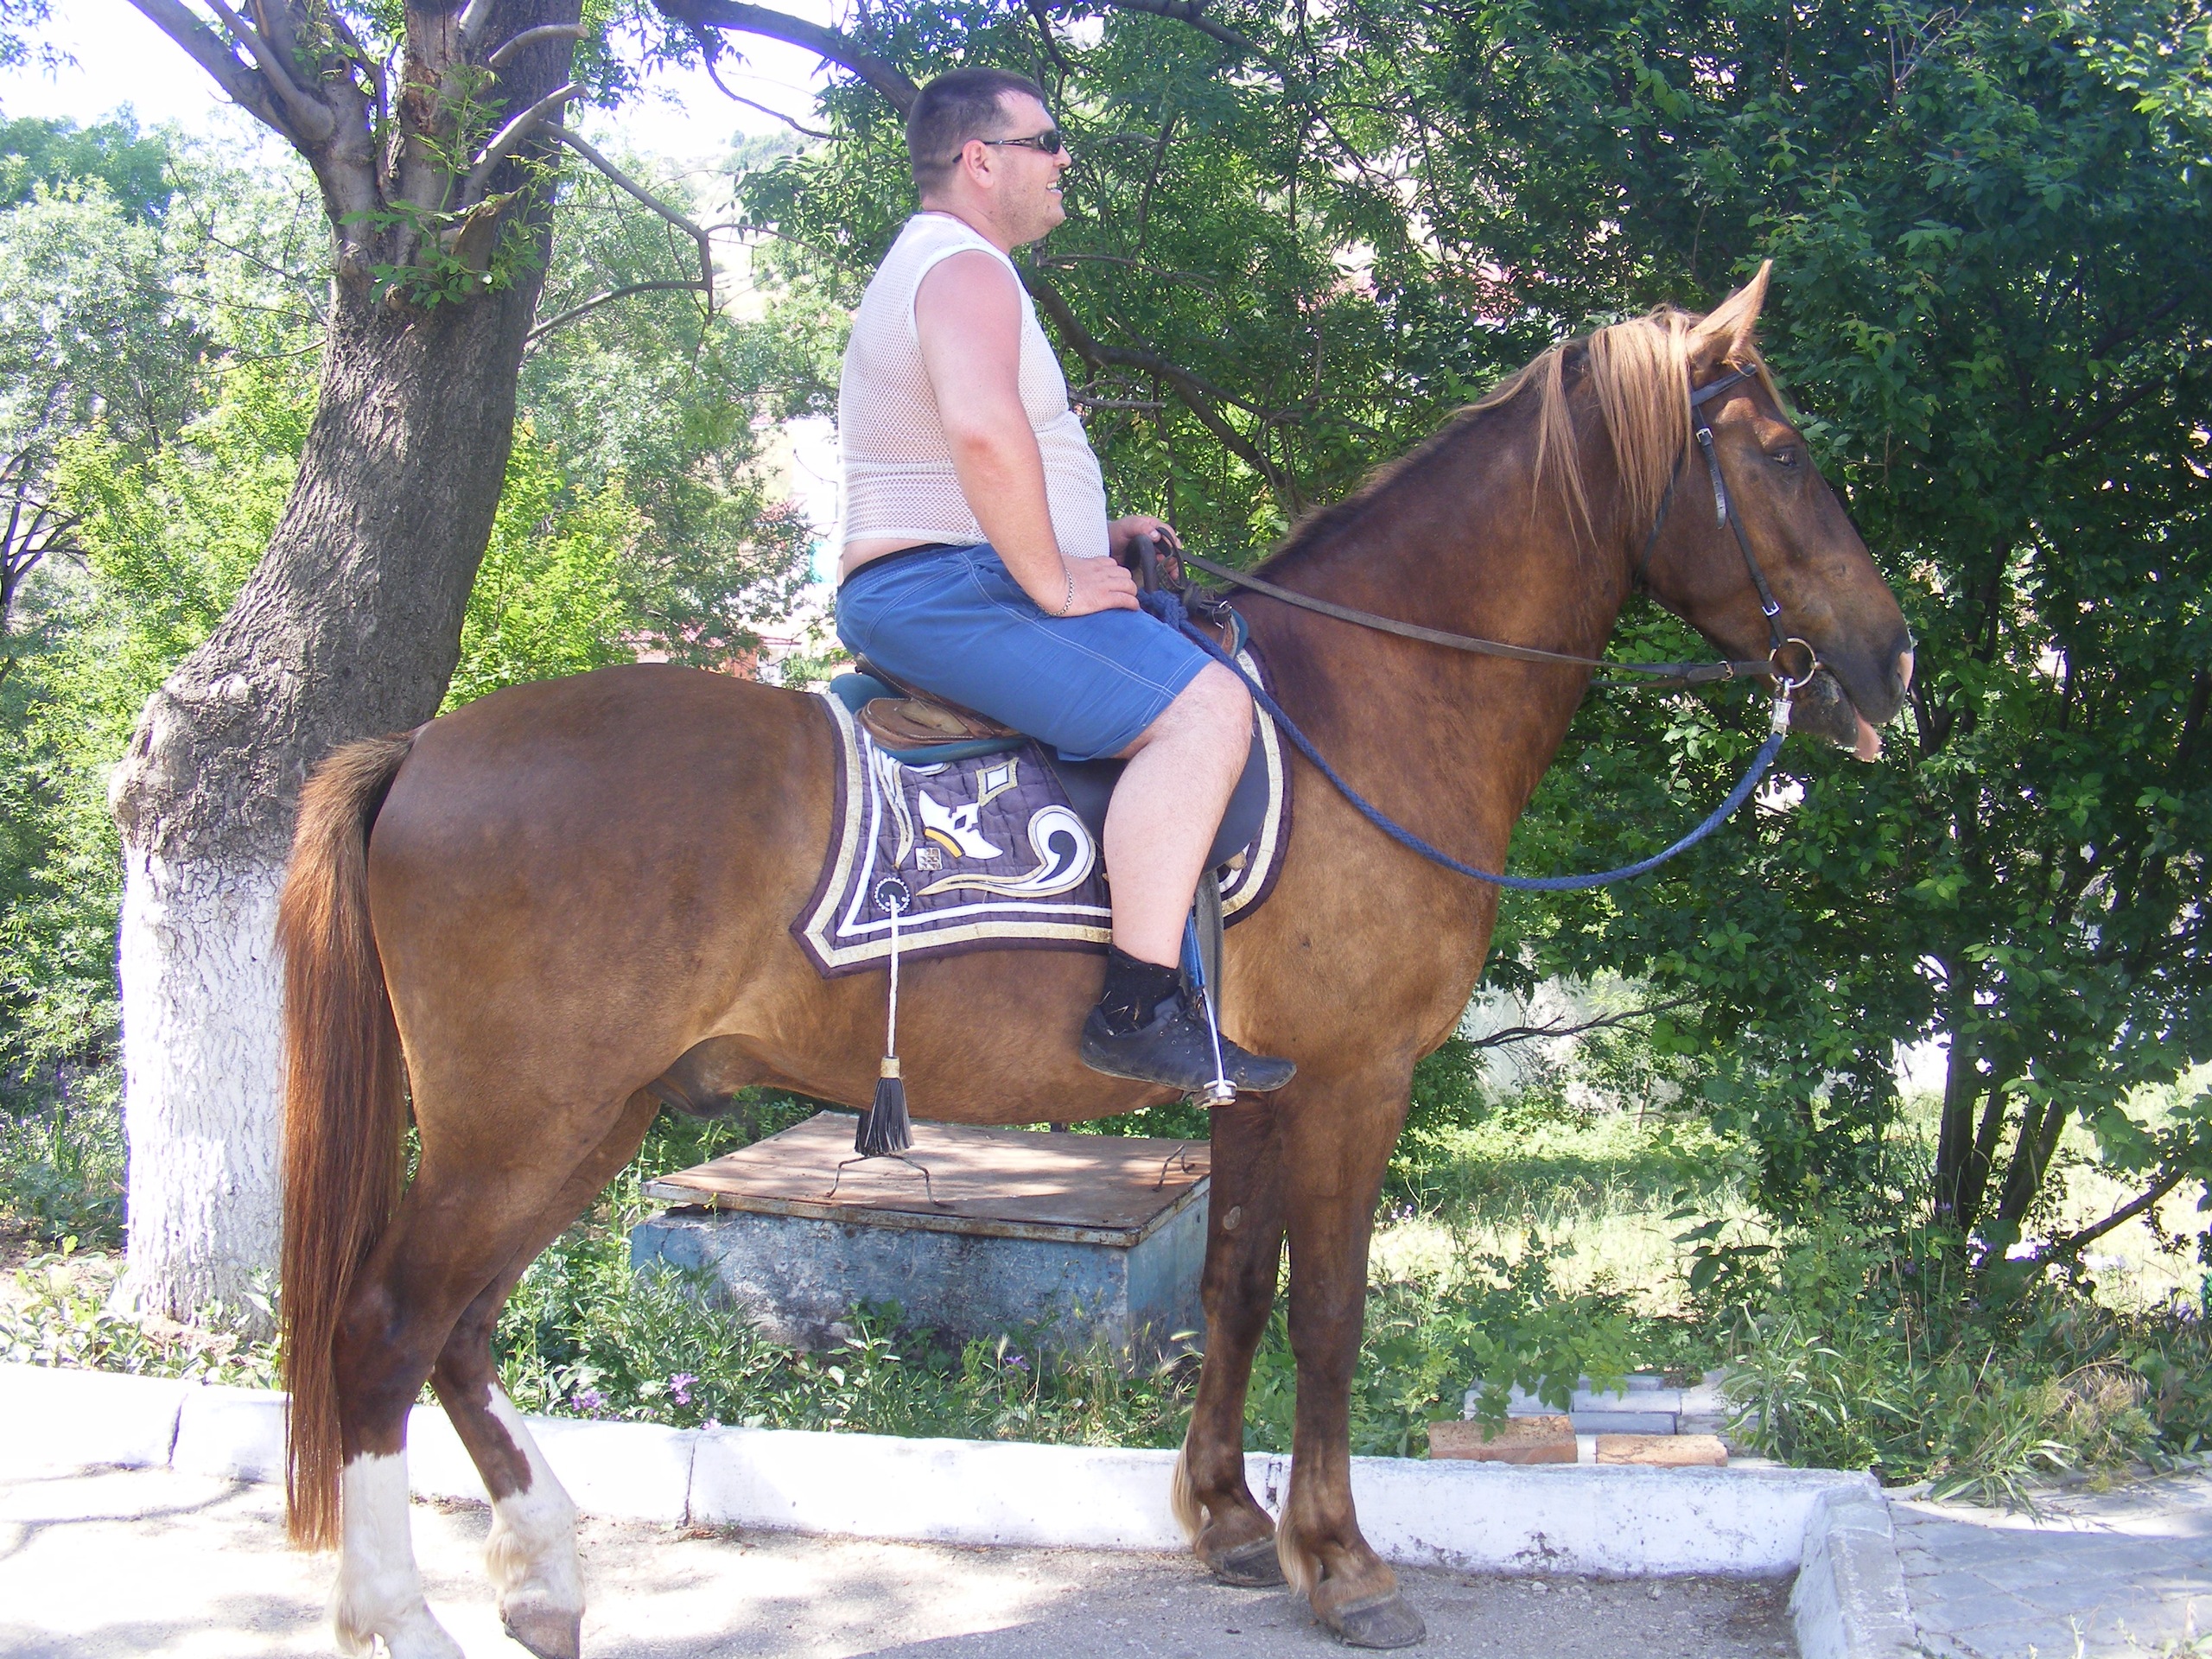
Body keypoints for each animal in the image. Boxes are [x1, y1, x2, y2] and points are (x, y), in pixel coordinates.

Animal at [274, 264, 1913, 1658]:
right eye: (1778, 457)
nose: (1893, 661)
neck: (1367, 695)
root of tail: (423, 749)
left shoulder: (1257, 1087)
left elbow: (1236, 1287)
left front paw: (1233, 1524)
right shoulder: (1358, 1080)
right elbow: (1330, 1315)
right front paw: (1345, 1563)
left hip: (590, 1117)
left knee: (457, 1333)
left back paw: (543, 1579)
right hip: (521, 1121)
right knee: (383, 1330)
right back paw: (401, 1615)